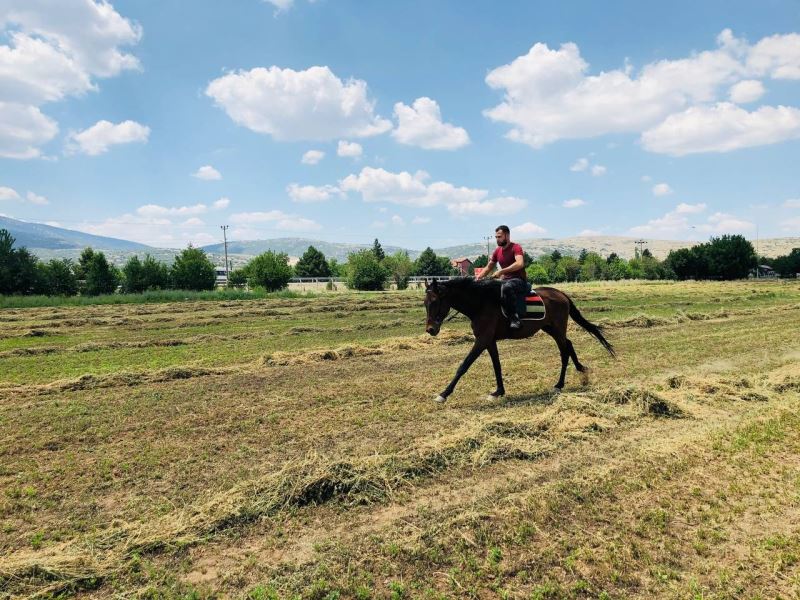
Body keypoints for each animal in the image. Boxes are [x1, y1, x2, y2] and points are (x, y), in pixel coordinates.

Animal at [422, 278, 616, 404]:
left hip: (558, 328)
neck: (481, 303)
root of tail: (560, 294)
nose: (430, 330)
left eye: (435, 301)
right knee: (568, 345)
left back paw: (560, 384)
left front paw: (444, 394)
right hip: (550, 328)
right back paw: (581, 372)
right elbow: (497, 366)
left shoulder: (482, 340)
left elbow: (464, 365)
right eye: (425, 303)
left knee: (564, 351)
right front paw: (498, 392)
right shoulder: (489, 341)